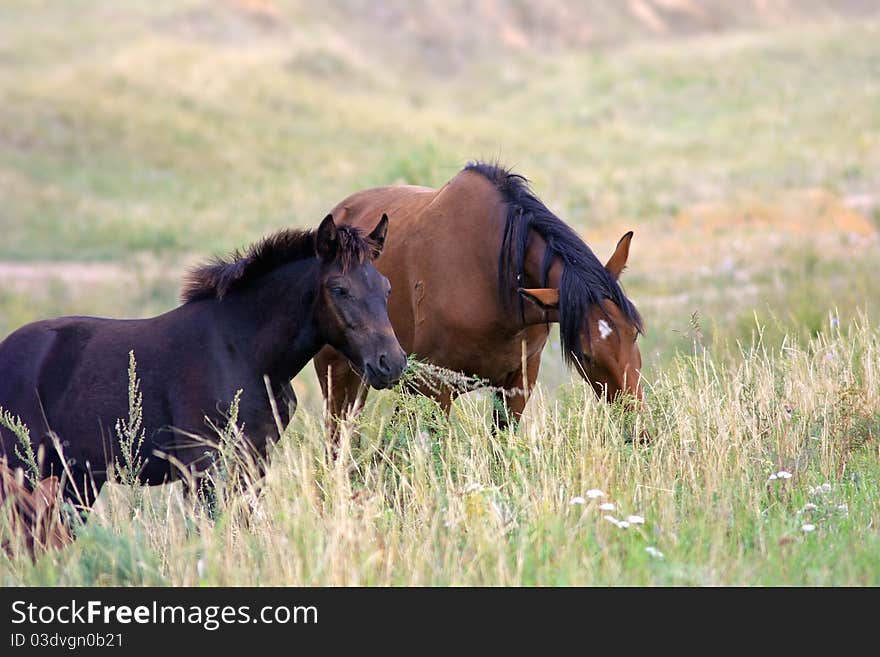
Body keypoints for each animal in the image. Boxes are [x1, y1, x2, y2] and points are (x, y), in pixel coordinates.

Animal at [0, 214, 406, 502]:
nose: (391, 363)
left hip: (77, 478)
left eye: (387, 288)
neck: (244, 353)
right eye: (339, 289)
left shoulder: (254, 462)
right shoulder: (201, 467)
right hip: (22, 470)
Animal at [312, 161, 644, 430]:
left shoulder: (517, 386)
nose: (637, 428)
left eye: (634, 334)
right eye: (587, 355)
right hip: (339, 377)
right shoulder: (432, 387)